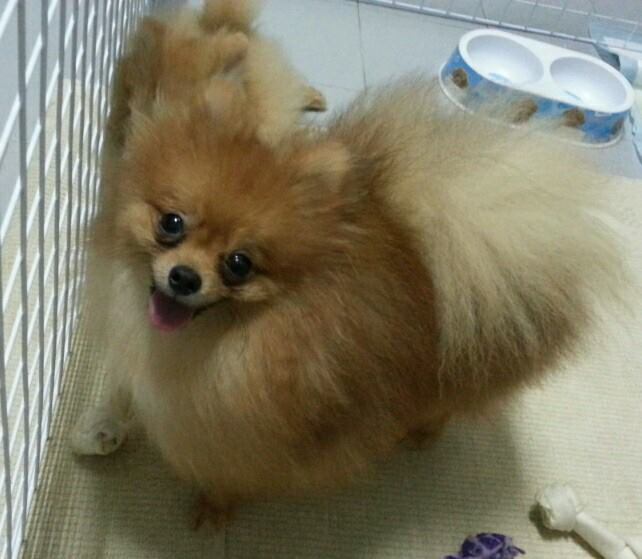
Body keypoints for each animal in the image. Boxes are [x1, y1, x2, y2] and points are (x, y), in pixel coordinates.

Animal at [73, 75, 625, 526]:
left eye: (239, 264)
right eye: (171, 223)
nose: (184, 277)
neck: (226, 339)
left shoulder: (259, 438)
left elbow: (234, 474)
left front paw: (214, 507)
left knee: (446, 408)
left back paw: (419, 434)